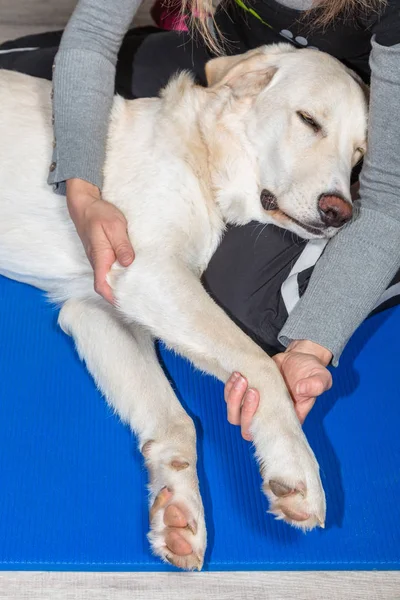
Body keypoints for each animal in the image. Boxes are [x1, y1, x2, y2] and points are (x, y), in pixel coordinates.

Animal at [0, 44, 368, 568]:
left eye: (358, 158)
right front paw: (295, 465)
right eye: (309, 120)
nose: (341, 213)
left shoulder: (97, 307)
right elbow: (261, 365)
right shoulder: (149, 271)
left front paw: (177, 506)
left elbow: (176, 422)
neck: (205, 161)